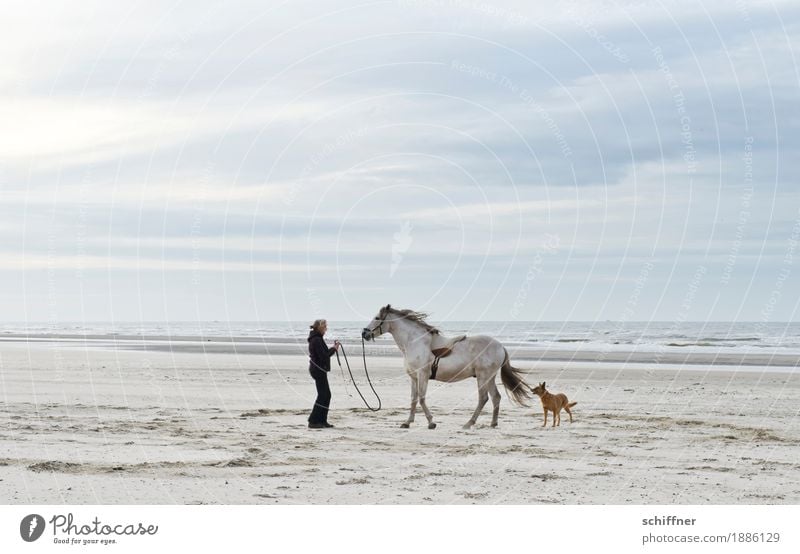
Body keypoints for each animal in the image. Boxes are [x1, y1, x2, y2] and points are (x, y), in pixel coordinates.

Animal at [360, 306, 532, 426]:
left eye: (377, 317)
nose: (364, 333)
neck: (414, 342)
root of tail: (500, 346)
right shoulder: (413, 377)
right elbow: (413, 399)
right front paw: (407, 422)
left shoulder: (423, 375)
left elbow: (421, 398)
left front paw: (431, 422)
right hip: (489, 377)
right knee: (496, 397)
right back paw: (493, 423)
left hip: (483, 377)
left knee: (483, 398)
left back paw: (469, 423)